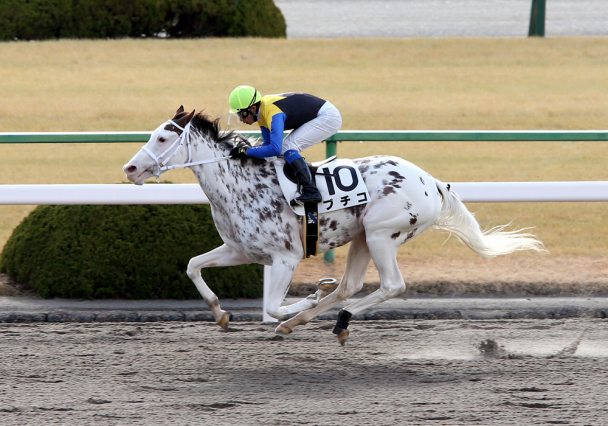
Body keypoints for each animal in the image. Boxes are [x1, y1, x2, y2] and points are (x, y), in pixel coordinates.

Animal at [121, 108, 544, 344]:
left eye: (163, 137)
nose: (130, 168)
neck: (240, 183)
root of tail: (433, 182)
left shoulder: (286, 257)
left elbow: (272, 305)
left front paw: (305, 298)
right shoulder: (240, 249)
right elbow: (193, 265)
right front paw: (220, 314)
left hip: (382, 234)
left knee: (391, 286)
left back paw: (337, 319)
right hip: (363, 238)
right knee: (349, 285)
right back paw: (304, 320)